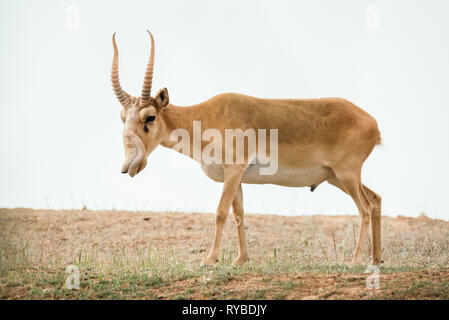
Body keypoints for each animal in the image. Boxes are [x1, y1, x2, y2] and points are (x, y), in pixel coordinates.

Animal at [112, 30, 382, 266]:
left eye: (150, 117)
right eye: (123, 117)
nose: (129, 166)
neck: (206, 117)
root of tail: (372, 123)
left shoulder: (233, 170)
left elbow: (221, 212)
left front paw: (209, 260)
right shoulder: (236, 178)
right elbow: (239, 213)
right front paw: (240, 260)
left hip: (346, 175)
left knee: (365, 208)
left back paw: (355, 261)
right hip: (336, 177)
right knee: (375, 199)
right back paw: (376, 259)